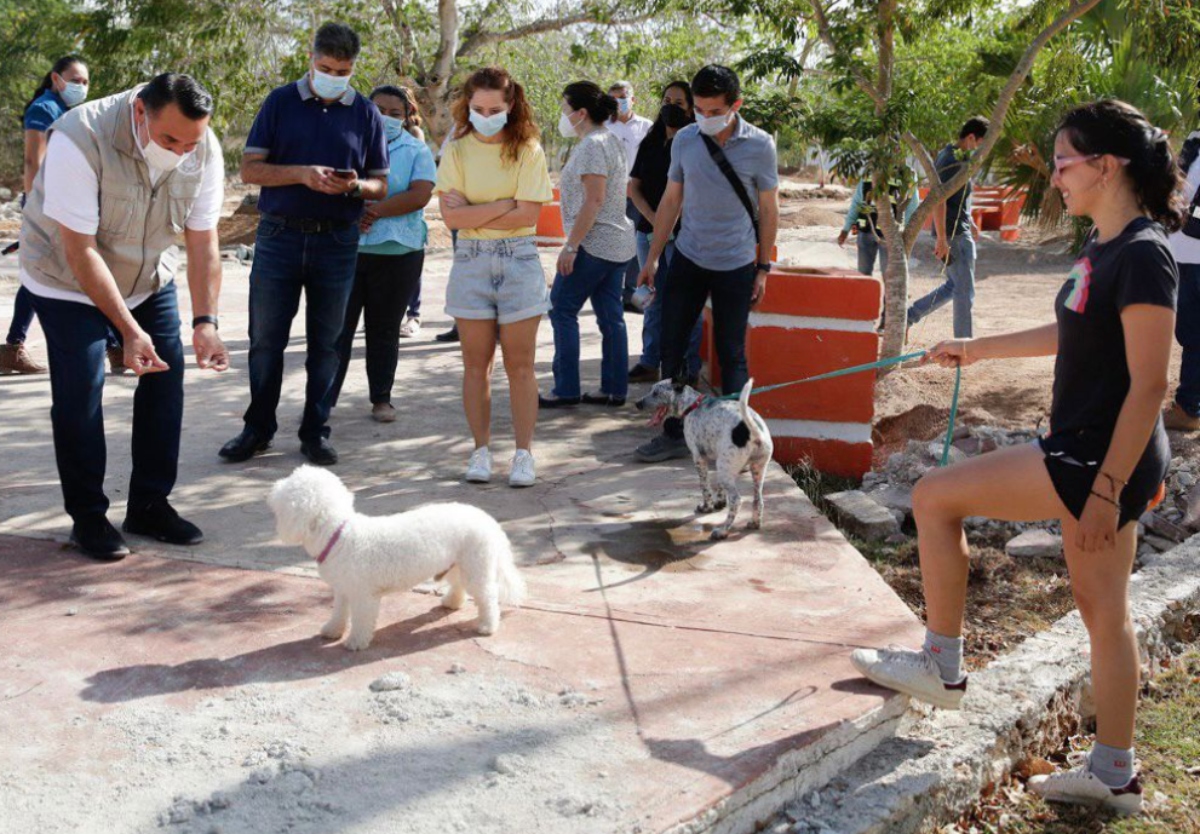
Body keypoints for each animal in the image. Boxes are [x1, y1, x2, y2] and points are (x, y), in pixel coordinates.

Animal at [272, 465, 525, 648]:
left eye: (291, 485)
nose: (274, 488)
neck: (339, 534)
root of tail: (487, 519)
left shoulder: (363, 595)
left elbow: (362, 620)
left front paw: (355, 642)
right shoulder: (343, 589)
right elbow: (339, 612)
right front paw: (332, 630)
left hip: (476, 563)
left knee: (488, 596)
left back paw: (487, 626)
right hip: (458, 562)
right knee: (459, 584)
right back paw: (452, 602)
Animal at [633, 379, 772, 542]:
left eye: (656, 393)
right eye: (651, 390)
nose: (637, 403)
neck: (692, 405)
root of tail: (754, 431)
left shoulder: (699, 458)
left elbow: (705, 487)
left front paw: (707, 507)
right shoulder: (718, 458)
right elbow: (718, 487)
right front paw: (719, 502)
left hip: (727, 469)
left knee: (736, 500)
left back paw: (722, 531)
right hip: (755, 469)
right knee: (758, 500)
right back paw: (754, 522)